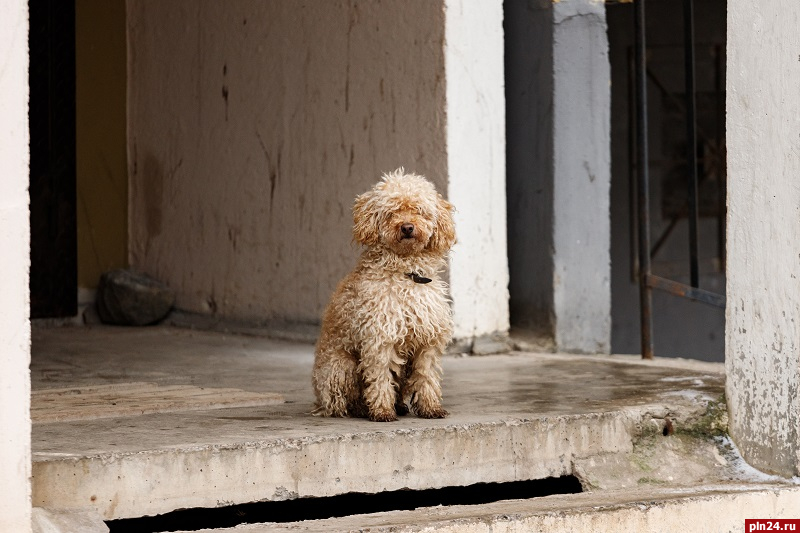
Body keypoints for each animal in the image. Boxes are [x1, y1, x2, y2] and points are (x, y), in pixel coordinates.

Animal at [316, 168, 460, 422]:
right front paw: (382, 410)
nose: (407, 227)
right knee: (343, 401)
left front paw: (430, 408)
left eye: (418, 210)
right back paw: (362, 408)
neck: (408, 273)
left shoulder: (427, 341)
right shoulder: (380, 337)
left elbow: (427, 376)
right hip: (341, 367)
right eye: (392, 212)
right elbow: (380, 376)